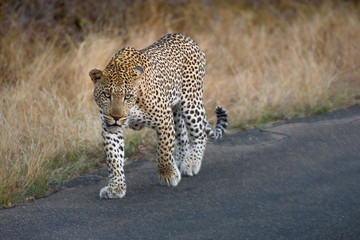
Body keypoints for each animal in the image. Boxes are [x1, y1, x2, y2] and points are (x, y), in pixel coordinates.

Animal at [88, 33, 228, 199]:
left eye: (127, 96)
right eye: (106, 95)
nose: (116, 117)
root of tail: (186, 37)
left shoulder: (164, 119)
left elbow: (163, 150)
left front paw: (168, 175)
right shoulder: (110, 129)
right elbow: (113, 159)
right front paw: (116, 187)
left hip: (190, 102)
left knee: (199, 134)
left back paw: (191, 163)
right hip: (175, 110)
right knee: (182, 137)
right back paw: (180, 161)